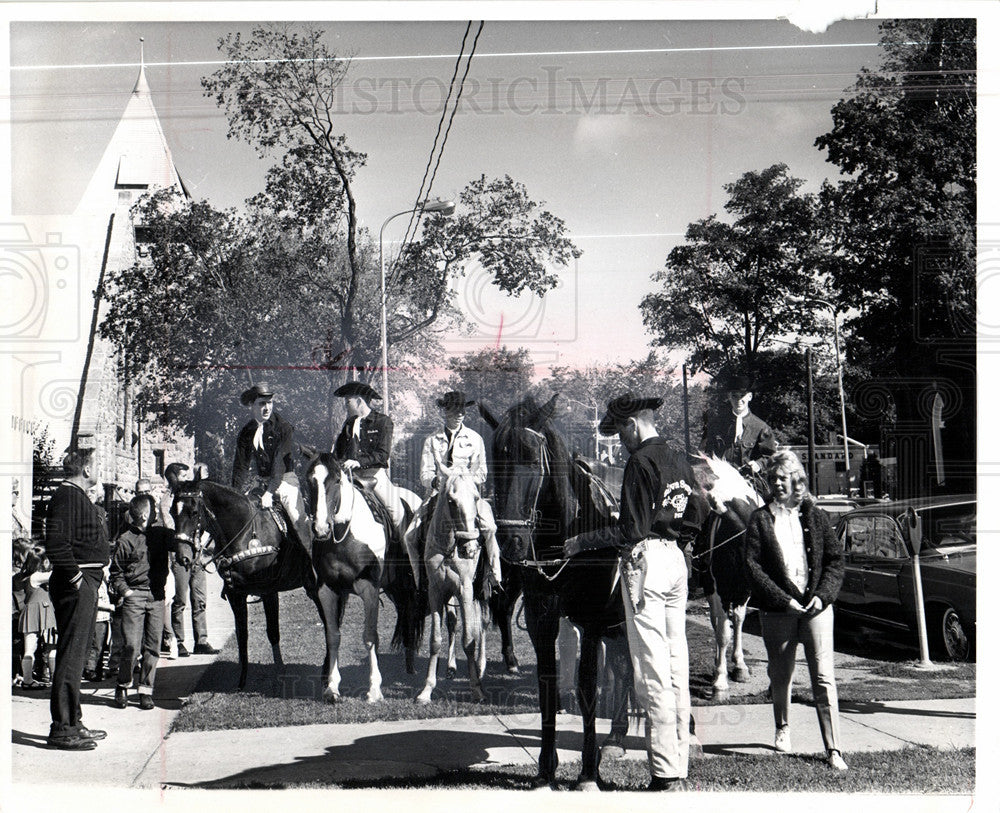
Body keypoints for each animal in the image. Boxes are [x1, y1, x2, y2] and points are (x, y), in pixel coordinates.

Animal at [170, 470, 320, 692]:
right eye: (172, 511)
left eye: (194, 511)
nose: (182, 557)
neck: (245, 532)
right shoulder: (236, 594)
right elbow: (242, 635)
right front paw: (241, 680)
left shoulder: (268, 591)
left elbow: (273, 632)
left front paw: (279, 675)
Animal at [304, 454, 422, 700]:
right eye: (309, 480)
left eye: (337, 480)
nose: (320, 529)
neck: (346, 534)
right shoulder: (327, 590)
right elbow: (333, 636)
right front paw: (332, 687)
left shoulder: (369, 589)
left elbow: (370, 636)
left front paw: (374, 689)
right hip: (394, 588)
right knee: (405, 613)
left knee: (412, 613)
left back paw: (412, 667)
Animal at [416, 472, 490, 700]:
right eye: (451, 501)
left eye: (475, 498)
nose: (470, 548)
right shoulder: (436, 591)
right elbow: (435, 640)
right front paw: (427, 689)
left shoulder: (466, 589)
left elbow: (469, 639)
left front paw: (477, 689)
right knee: (453, 622)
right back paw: (451, 667)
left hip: (482, 591)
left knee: (482, 623)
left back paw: (481, 666)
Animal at [478, 396, 632, 788]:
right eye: (496, 459)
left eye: (534, 459)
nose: (511, 540)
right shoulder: (541, 614)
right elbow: (547, 683)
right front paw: (546, 770)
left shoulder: (591, 618)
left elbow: (587, 685)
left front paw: (588, 773)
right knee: (624, 667)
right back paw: (616, 735)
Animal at [688, 454, 764, 700]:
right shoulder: (718, 587)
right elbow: (723, 631)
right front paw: (720, 682)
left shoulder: (744, 589)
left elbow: (738, 620)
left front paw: (739, 666)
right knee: (716, 621)